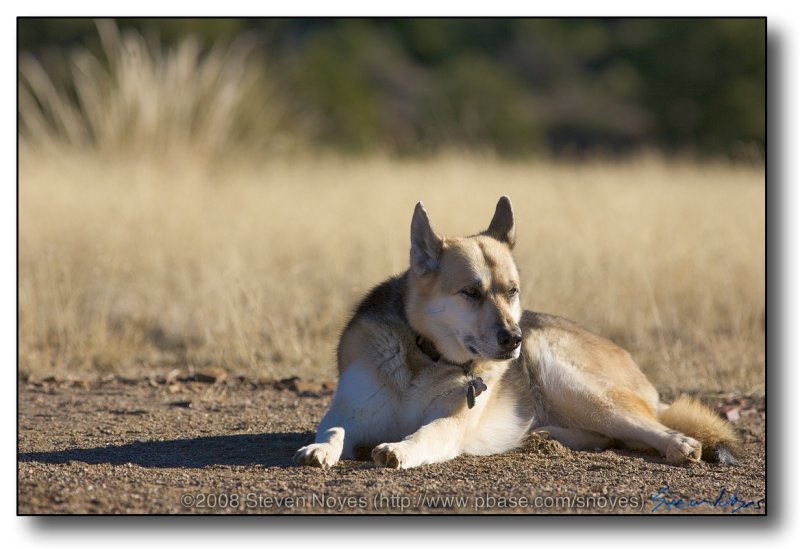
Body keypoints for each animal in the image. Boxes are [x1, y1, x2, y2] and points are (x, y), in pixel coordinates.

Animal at [294, 196, 736, 466]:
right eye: (471, 292)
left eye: (512, 291)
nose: (514, 339)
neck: (424, 354)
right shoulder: (348, 410)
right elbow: (333, 429)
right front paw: (319, 449)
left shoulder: (453, 424)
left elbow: (426, 432)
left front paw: (398, 449)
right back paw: (545, 436)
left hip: (572, 383)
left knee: (653, 429)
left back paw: (680, 445)